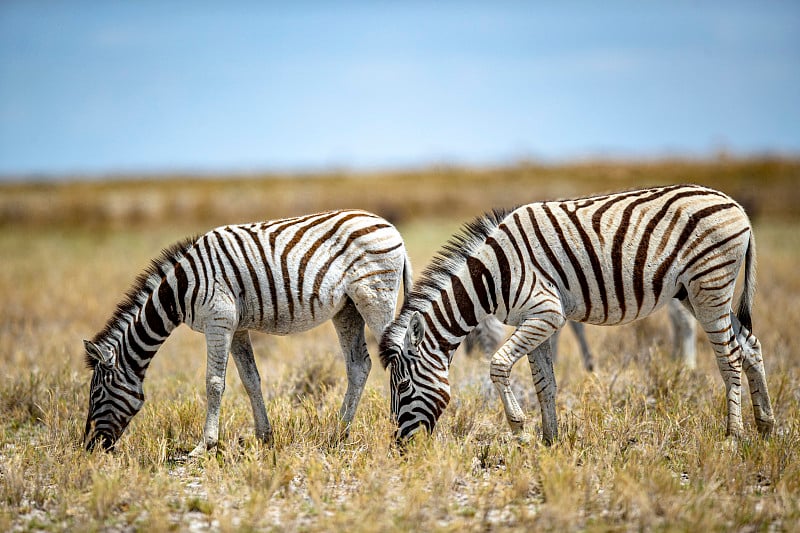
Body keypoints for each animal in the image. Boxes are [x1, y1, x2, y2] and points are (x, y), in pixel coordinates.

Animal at [83, 208, 412, 454]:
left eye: (97, 394)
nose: (89, 448)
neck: (179, 290)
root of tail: (391, 228)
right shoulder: (236, 327)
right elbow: (250, 379)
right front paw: (265, 437)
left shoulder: (218, 320)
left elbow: (214, 382)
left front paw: (205, 446)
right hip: (347, 308)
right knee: (359, 365)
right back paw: (338, 434)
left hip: (375, 297)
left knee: (398, 355)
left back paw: (397, 429)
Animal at [466, 298, 696, 372]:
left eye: (476, 331)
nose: (473, 359)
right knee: (677, 319)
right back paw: (676, 358)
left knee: (683, 317)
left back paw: (688, 365)